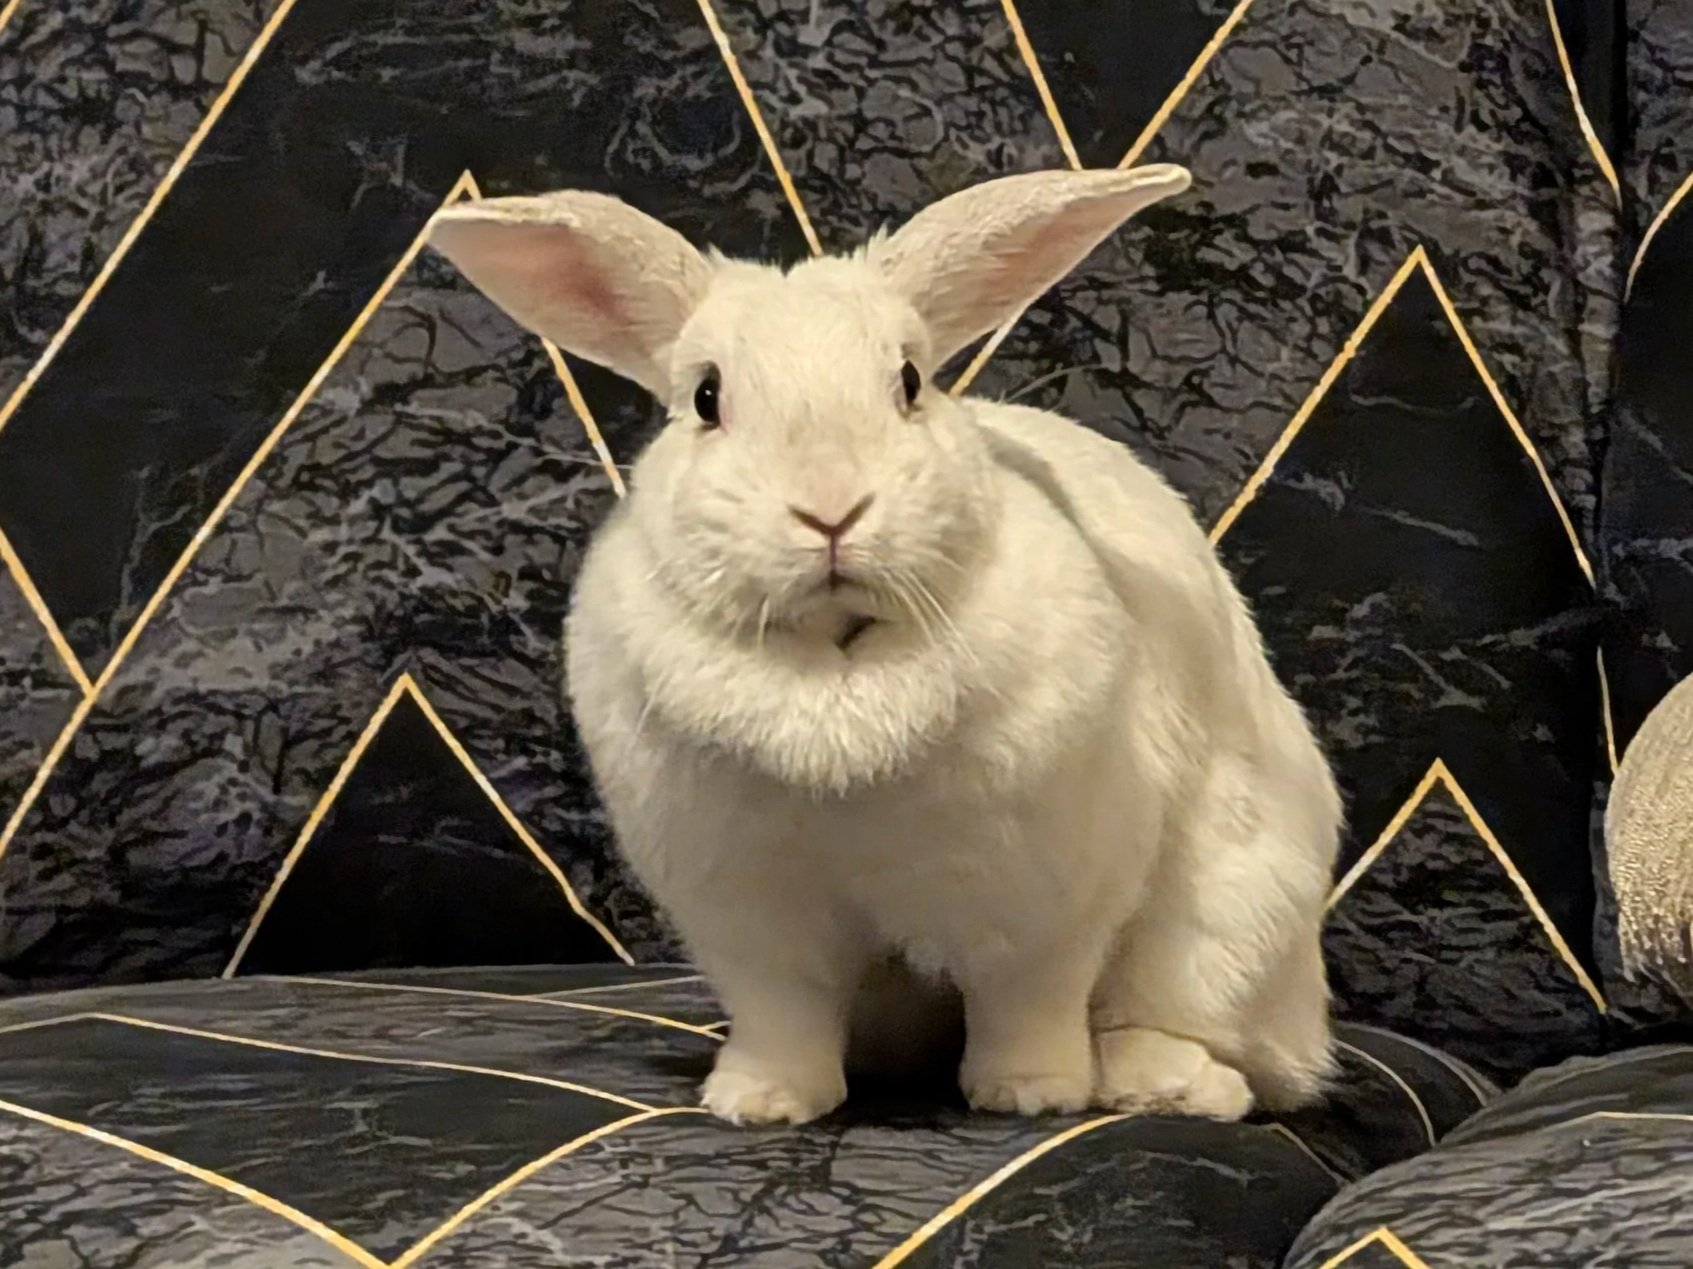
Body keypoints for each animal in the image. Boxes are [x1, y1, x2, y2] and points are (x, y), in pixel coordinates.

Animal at [428, 166, 1343, 1127]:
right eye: (707, 397)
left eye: (908, 380)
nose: (831, 509)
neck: (837, 659)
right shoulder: (750, 923)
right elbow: (782, 1015)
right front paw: (758, 1101)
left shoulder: (1046, 906)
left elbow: (1029, 1001)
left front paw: (1029, 1094)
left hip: (1228, 913)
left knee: (1199, 1026)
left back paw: (1160, 1083)